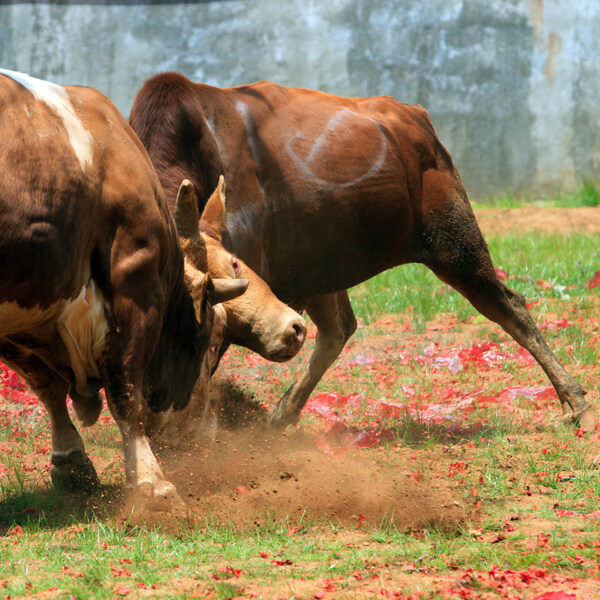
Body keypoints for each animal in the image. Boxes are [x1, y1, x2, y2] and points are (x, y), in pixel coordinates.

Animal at [0, 68, 253, 506]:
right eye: (210, 337)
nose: (201, 432)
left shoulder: (23, 314)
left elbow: (46, 386)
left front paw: (71, 461)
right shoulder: (135, 279)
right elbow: (125, 388)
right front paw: (152, 482)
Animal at [130, 74, 596, 432]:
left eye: (231, 263)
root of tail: (416, 118)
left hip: (455, 244)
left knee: (511, 308)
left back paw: (576, 403)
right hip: (319, 268)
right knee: (338, 329)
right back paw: (281, 415)